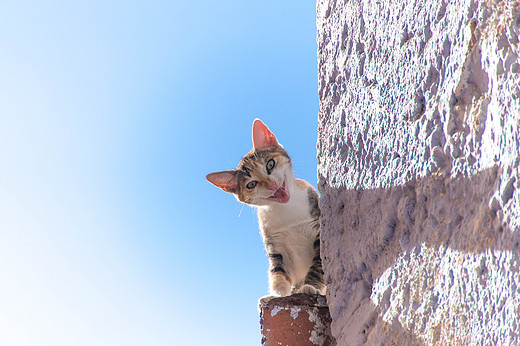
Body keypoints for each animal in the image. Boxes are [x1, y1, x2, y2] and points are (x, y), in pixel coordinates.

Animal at [205, 119, 322, 308]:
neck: (287, 211)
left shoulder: (318, 229)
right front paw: (277, 294)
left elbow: (319, 264)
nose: (272, 185)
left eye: (270, 164)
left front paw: (310, 286)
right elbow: (278, 271)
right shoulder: (275, 243)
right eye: (251, 184)